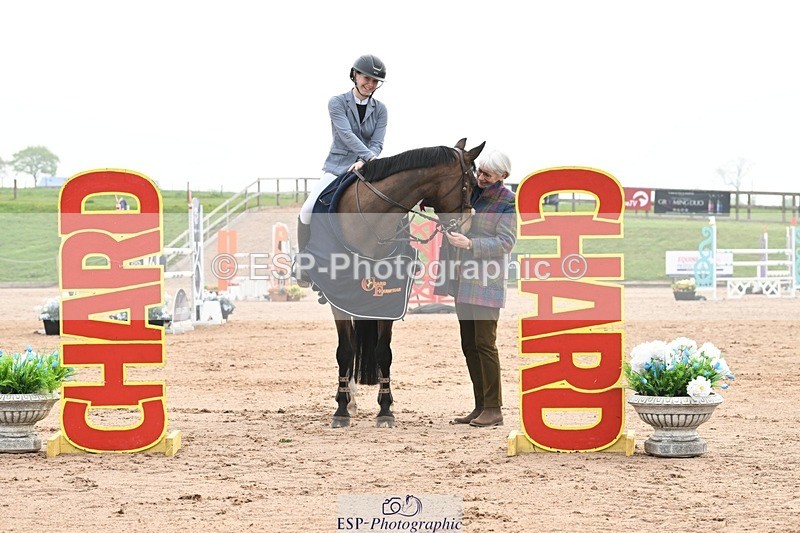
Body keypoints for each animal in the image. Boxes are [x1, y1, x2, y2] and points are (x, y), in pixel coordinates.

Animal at [318, 138, 485, 428]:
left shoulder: (389, 299)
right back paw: (349, 399)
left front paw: (385, 409)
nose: (465, 229)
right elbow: (345, 351)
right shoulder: (338, 298)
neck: (370, 220)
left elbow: (384, 352)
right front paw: (341, 409)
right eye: (472, 184)